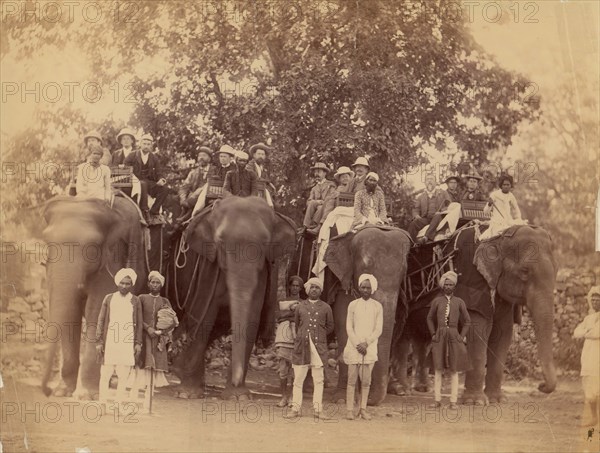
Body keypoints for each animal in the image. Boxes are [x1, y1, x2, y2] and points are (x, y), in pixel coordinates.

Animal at [41, 194, 155, 396]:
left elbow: (96, 311)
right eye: (47, 240)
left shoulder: (112, 261)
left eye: (92, 245)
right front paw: (63, 392)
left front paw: (85, 394)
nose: (46, 390)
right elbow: (72, 311)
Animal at [168, 197, 296, 400]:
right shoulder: (207, 268)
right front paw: (186, 394)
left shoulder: (261, 274)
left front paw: (238, 397)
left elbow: (251, 319)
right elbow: (204, 317)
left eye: (266, 243)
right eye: (220, 242)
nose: (237, 381)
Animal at [318, 226, 412, 406]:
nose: (367, 400)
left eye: (403, 274)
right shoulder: (342, 282)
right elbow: (343, 323)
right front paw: (342, 399)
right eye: (365, 268)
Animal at [394, 224, 556, 404]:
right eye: (525, 271)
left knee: (423, 339)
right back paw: (401, 390)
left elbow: (503, 333)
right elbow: (478, 330)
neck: (498, 238)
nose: (540, 386)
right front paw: (475, 402)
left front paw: (497, 400)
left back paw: (423, 388)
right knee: (402, 339)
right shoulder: (473, 281)